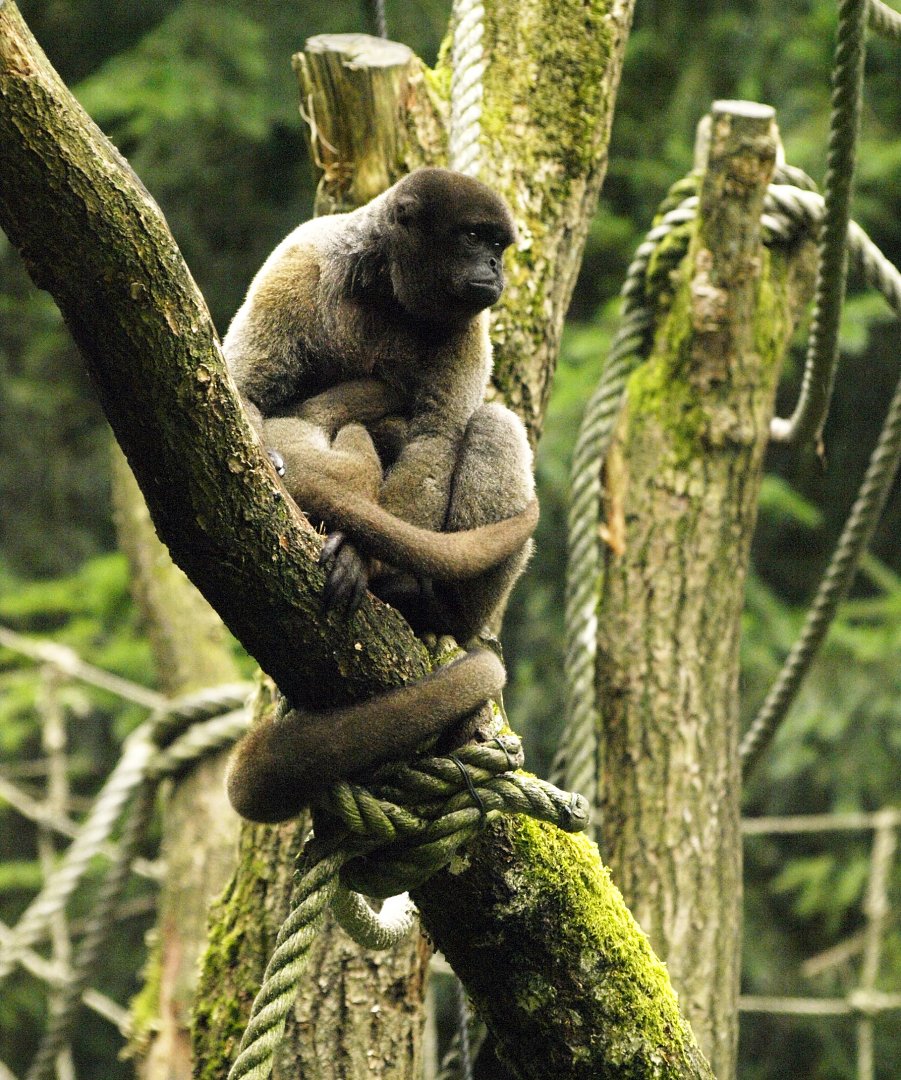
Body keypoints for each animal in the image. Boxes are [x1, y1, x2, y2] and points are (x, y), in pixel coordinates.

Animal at [222, 168, 537, 823]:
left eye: (499, 245)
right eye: (475, 238)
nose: (494, 268)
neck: (386, 290)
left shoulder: (469, 326)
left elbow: (435, 438)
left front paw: (362, 561)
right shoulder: (298, 264)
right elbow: (245, 389)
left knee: (491, 423)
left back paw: (434, 605)